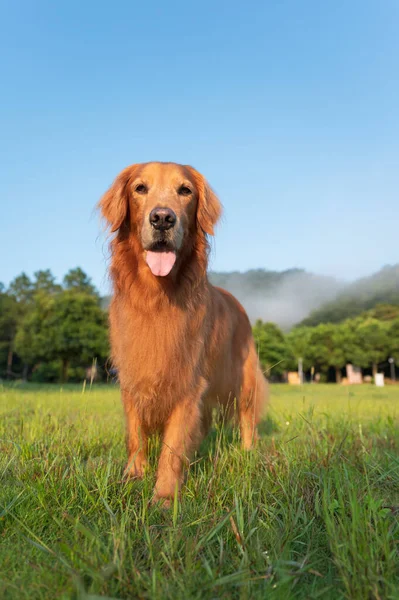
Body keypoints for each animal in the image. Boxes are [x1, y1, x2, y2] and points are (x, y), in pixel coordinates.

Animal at [100, 162, 268, 504]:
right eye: (140, 188)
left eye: (185, 190)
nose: (163, 218)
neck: (157, 297)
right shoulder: (132, 375)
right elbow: (135, 436)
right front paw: (133, 477)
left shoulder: (186, 381)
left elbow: (173, 446)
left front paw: (164, 497)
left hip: (243, 378)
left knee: (247, 419)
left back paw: (248, 454)